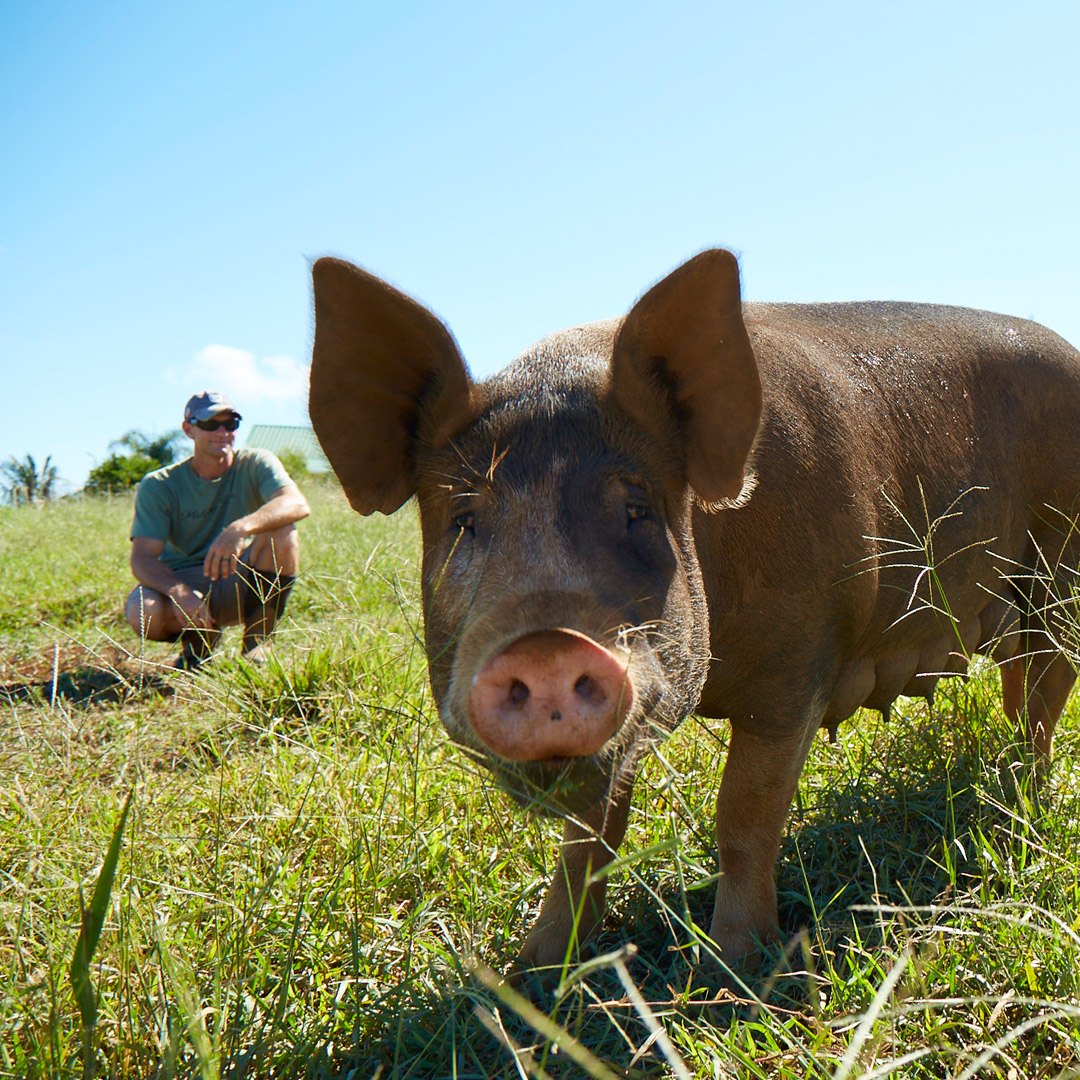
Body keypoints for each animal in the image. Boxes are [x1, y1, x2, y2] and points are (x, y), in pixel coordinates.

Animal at [306, 250, 1080, 980]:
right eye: (466, 521)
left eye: (637, 511)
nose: (548, 646)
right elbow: (589, 840)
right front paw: (536, 973)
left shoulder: (797, 666)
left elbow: (744, 815)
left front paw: (730, 971)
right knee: (1023, 684)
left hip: (1060, 570)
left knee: (1048, 687)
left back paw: (1022, 804)